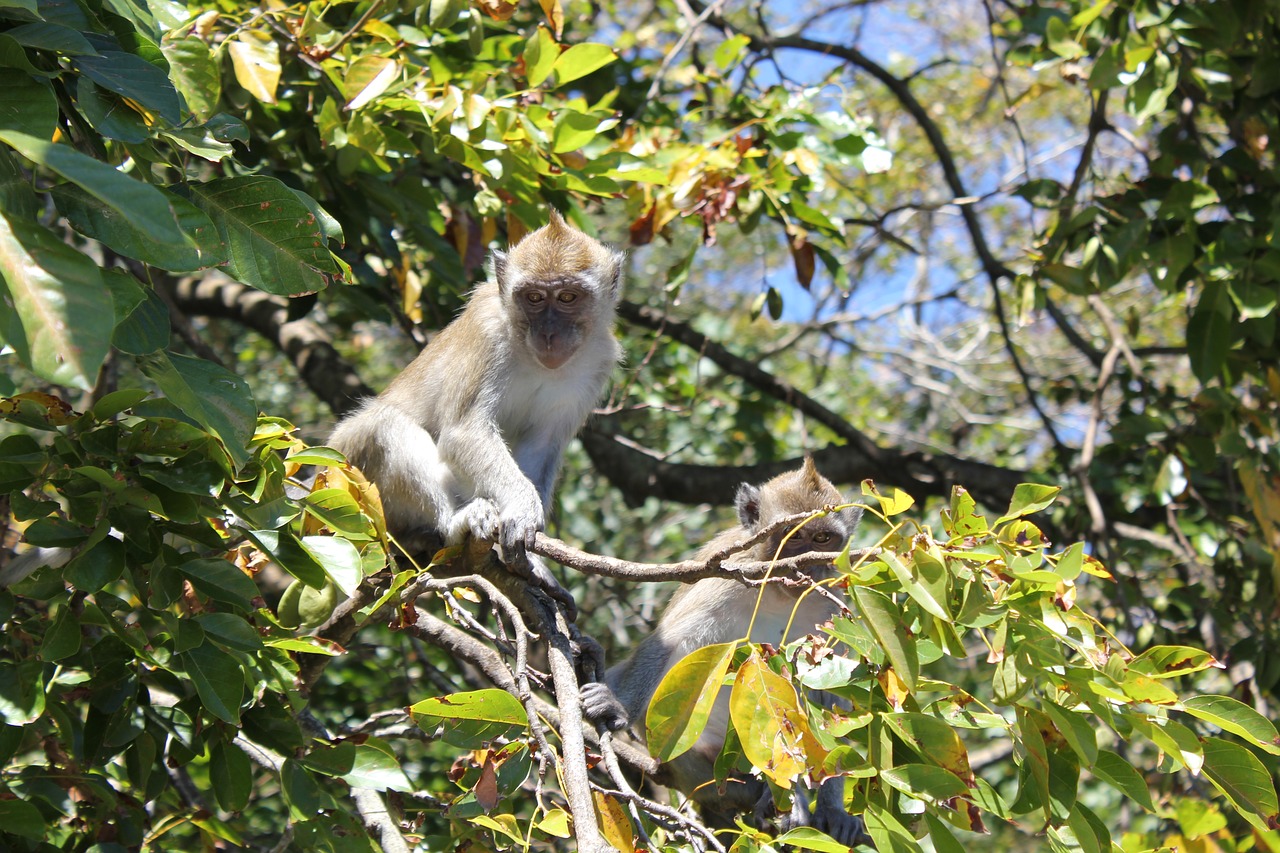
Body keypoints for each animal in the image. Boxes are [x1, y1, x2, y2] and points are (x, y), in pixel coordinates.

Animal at [327, 210, 622, 604]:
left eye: (568, 297)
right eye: (533, 297)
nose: (549, 334)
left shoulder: (599, 360)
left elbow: (542, 445)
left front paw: (531, 558)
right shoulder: (487, 331)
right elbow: (464, 432)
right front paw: (522, 508)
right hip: (349, 478)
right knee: (382, 426)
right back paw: (455, 524)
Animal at [586, 461, 875, 845]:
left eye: (822, 539)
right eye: (790, 535)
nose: (804, 564)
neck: (776, 592)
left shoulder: (833, 605)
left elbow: (831, 701)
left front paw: (833, 810)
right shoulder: (724, 579)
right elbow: (668, 643)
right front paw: (615, 705)